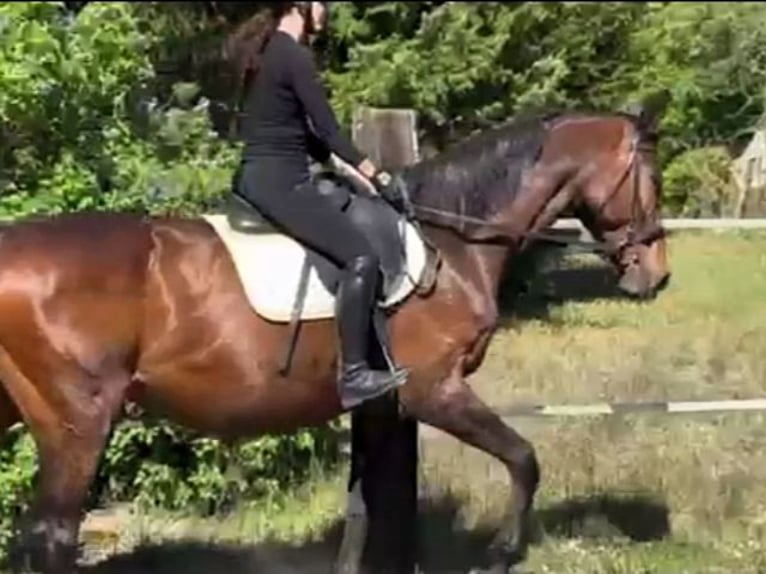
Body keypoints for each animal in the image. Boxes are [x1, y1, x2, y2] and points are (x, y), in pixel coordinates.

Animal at [0, 104, 669, 574]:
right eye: (649, 177)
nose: (656, 275)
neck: (451, 243)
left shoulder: (379, 404)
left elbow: (361, 509)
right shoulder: (435, 392)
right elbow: (524, 460)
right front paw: (502, 553)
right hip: (78, 424)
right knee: (54, 535)